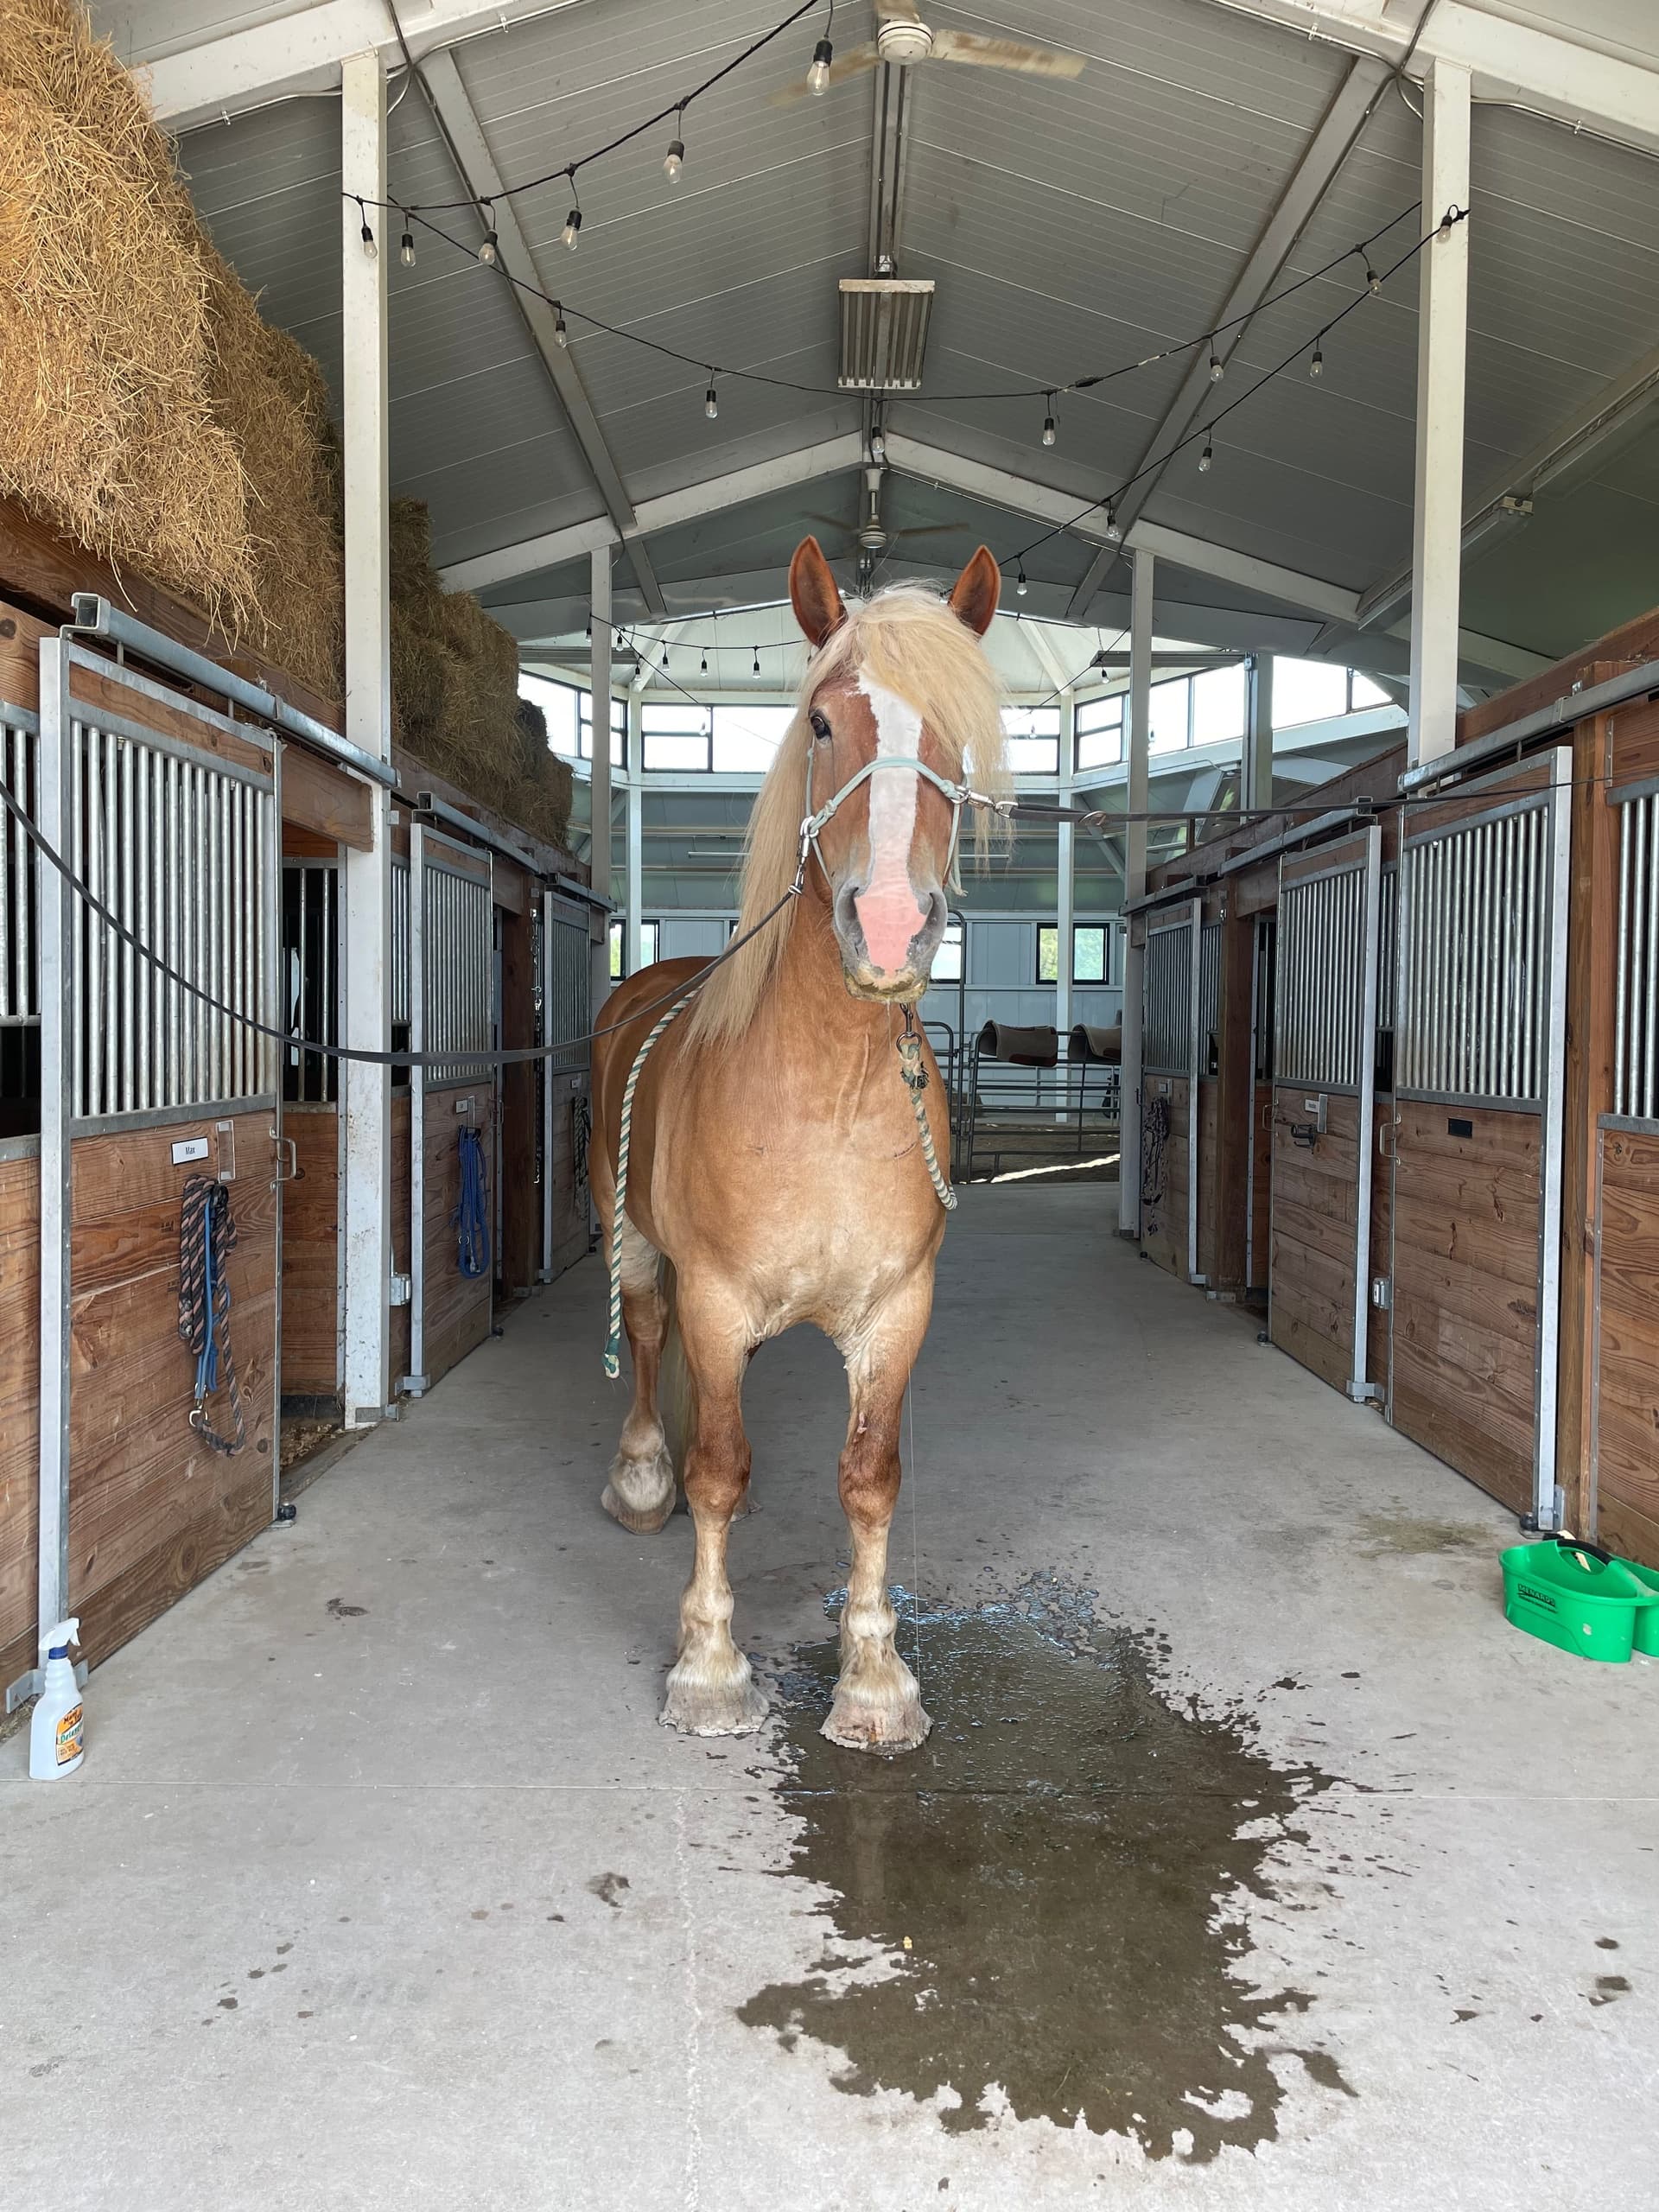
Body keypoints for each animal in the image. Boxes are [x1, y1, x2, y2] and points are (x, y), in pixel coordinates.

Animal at [590, 537, 1007, 1752]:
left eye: (957, 734)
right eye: (822, 721)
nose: (890, 929)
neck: (826, 1096)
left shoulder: (897, 1310)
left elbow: (870, 1477)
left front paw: (875, 1681)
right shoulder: (718, 1293)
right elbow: (716, 1473)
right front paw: (708, 1665)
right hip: (633, 1241)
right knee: (648, 1346)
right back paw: (642, 1479)